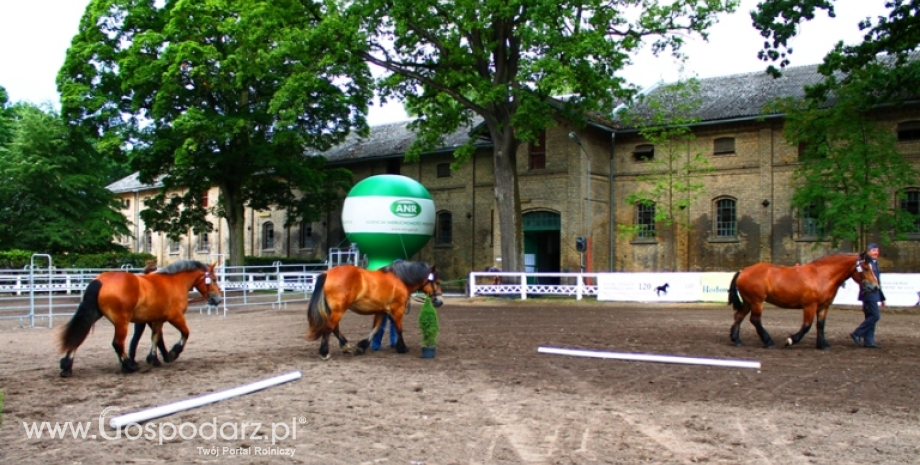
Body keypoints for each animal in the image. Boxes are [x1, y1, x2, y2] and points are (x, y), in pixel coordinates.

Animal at [58, 260, 222, 376]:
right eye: (213, 279)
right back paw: (129, 366)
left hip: (93, 315)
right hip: (121, 322)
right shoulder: (175, 317)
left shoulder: (158, 319)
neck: (174, 281)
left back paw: (67, 367)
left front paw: (153, 358)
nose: (218, 299)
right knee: (117, 343)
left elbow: (155, 337)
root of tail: (101, 280)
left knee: (77, 336)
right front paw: (173, 352)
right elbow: (185, 333)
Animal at [306, 260, 442, 358]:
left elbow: (376, 329)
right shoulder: (398, 310)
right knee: (329, 327)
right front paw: (403, 348)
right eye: (438, 282)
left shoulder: (381, 311)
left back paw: (345, 346)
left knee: (334, 328)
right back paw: (325, 352)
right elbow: (399, 329)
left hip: (334, 310)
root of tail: (327, 273)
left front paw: (362, 347)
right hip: (338, 310)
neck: (400, 280)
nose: (439, 301)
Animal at [728, 252, 880, 350]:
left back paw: (736, 340)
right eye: (866, 268)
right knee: (755, 320)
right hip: (757, 302)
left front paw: (822, 345)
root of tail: (743, 271)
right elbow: (807, 326)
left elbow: (821, 325)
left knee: (739, 316)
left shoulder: (823, 307)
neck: (822, 275)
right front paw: (790, 340)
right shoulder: (809, 306)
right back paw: (768, 341)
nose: (875, 287)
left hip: (749, 302)